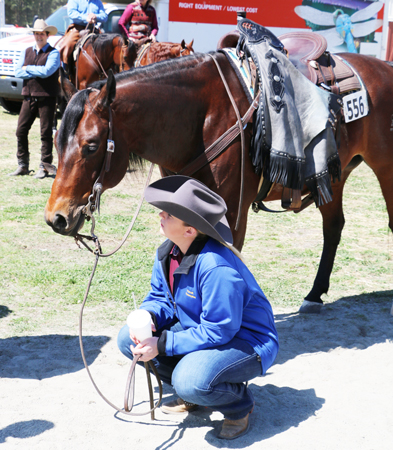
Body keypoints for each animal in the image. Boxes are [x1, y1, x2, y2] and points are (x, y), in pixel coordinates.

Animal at [44, 51, 392, 312]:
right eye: (57, 141)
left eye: (91, 145)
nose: (56, 218)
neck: (201, 117)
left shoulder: (232, 211)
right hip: (333, 177)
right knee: (333, 228)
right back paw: (314, 294)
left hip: (385, 168)